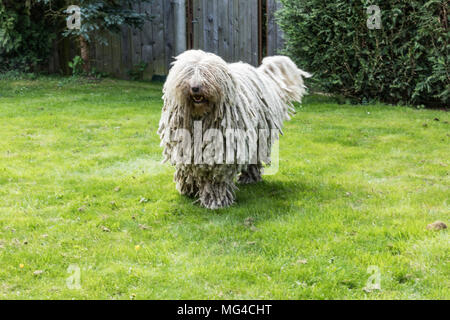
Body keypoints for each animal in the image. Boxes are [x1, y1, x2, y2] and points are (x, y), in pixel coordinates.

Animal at [158, 50, 310, 210]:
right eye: (189, 72)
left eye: (206, 74)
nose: (195, 87)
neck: (200, 116)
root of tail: (259, 73)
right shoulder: (185, 147)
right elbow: (186, 169)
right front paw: (189, 189)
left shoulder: (220, 152)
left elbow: (215, 177)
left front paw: (215, 200)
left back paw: (249, 178)